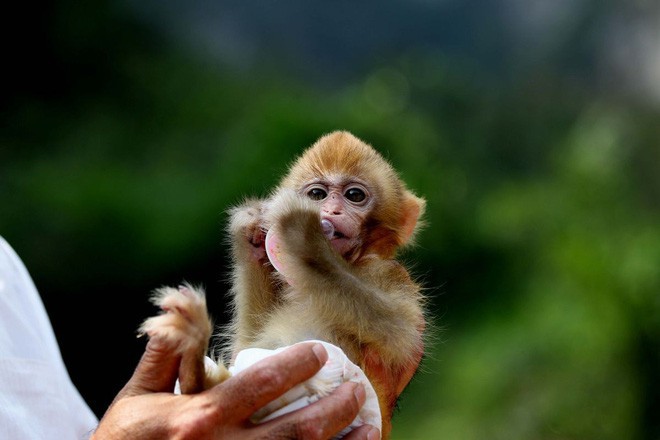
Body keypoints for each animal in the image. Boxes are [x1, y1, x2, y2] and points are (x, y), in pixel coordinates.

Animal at [141, 130, 426, 436]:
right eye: (317, 194)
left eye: (354, 195)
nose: (331, 211)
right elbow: (244, 346)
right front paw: (251, 234)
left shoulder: (391, 274)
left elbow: (399, 333)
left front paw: (304, 237)